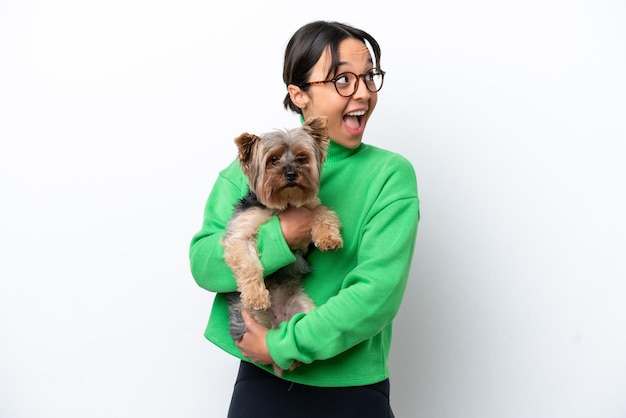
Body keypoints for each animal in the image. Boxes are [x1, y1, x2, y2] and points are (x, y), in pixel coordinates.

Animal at [222, 116, 342, 376]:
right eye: (273, 160)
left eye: (301, 158)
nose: (291, 174)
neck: (283, 204)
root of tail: (278, 322)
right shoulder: (240, 232)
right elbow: (248, 263)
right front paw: (257, 295)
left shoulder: (312, 206)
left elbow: (324, 213)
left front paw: (329, 238)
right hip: (251, 320)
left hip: (303, 309)